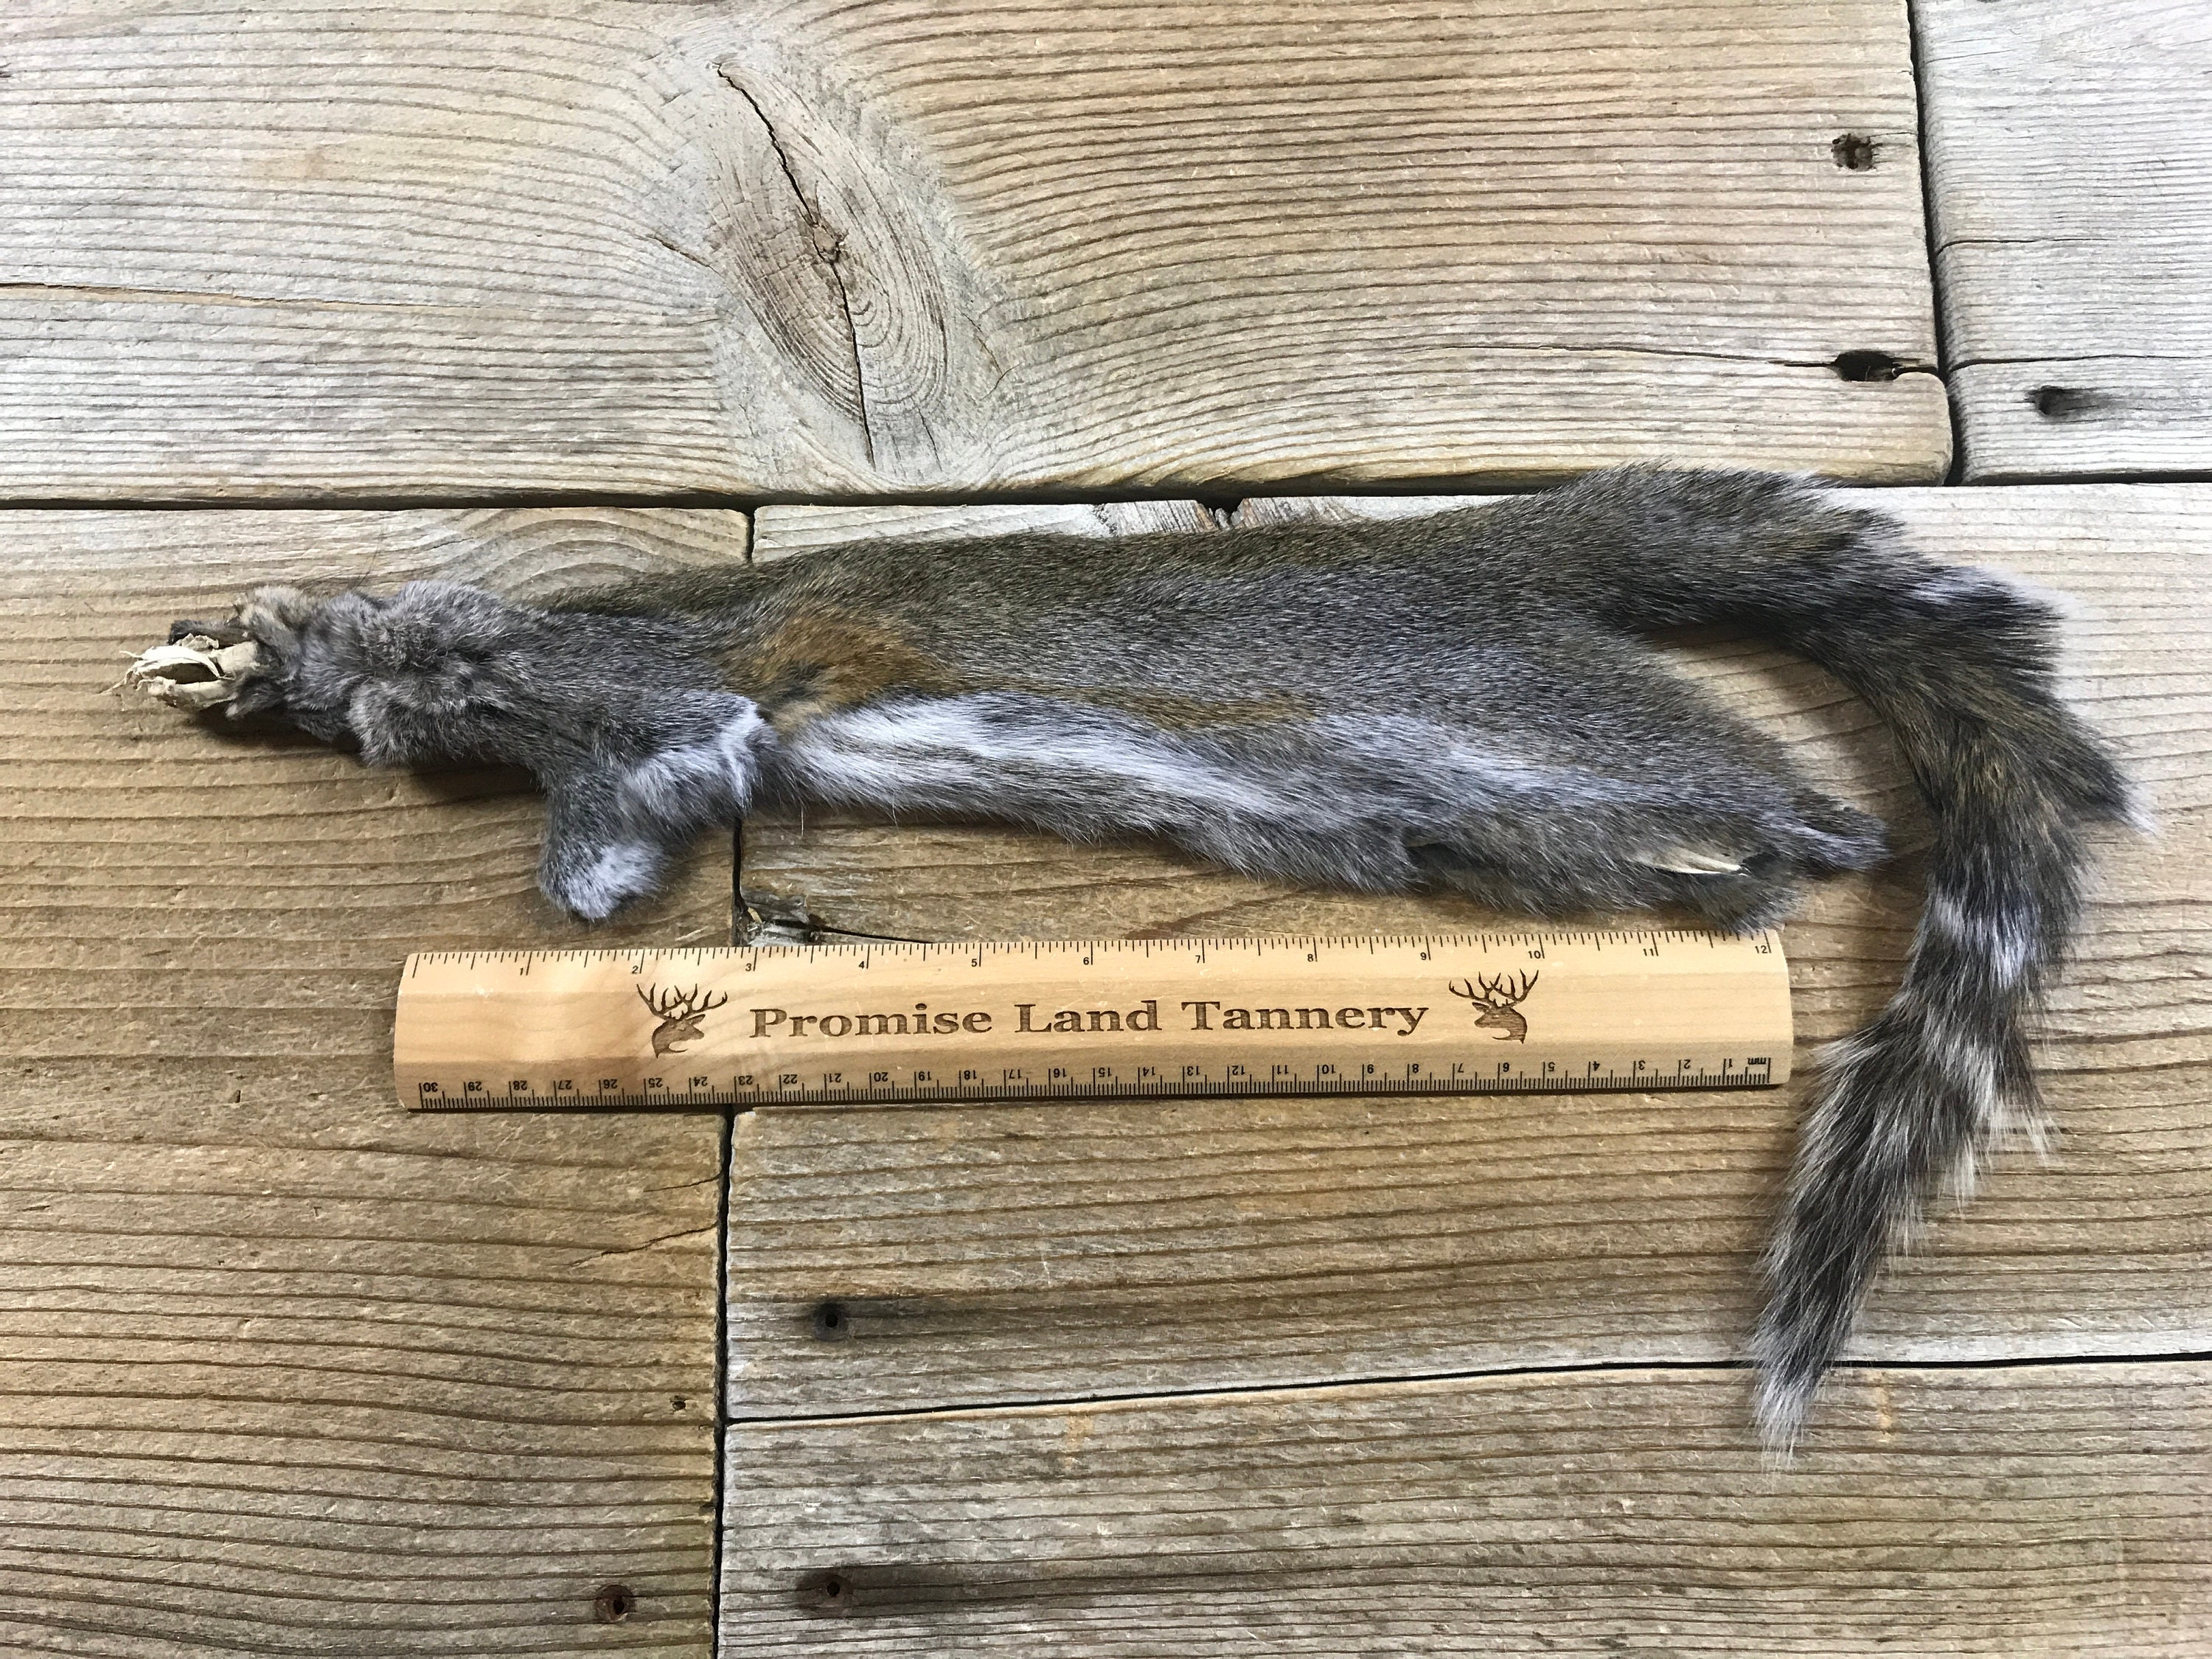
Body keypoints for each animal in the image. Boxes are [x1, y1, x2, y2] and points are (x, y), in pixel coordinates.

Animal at [139, 465, 2134, 1446]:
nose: (188, 658)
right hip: (1509, 803)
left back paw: (1823, 833)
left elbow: (649, 769)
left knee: (1780, 785)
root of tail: (1501, 553)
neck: (516, 672)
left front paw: (566, 867)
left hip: (1550, 724)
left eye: (252, 631)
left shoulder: (649, 700)